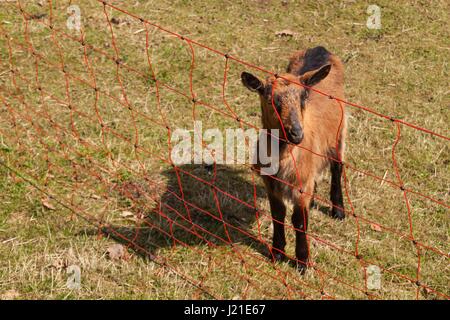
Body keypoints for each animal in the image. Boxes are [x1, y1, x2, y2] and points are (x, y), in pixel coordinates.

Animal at [241, 45, 346, 272]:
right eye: (272, 99)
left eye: (303, 97)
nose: (296, 133)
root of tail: (320, 48)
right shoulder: (271, 183)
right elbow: (278, 215)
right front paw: (277, 252)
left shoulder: (301, 186)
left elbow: (299, 221)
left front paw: (302, 262)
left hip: (339, 134)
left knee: (337, 167)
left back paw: (339, 211)